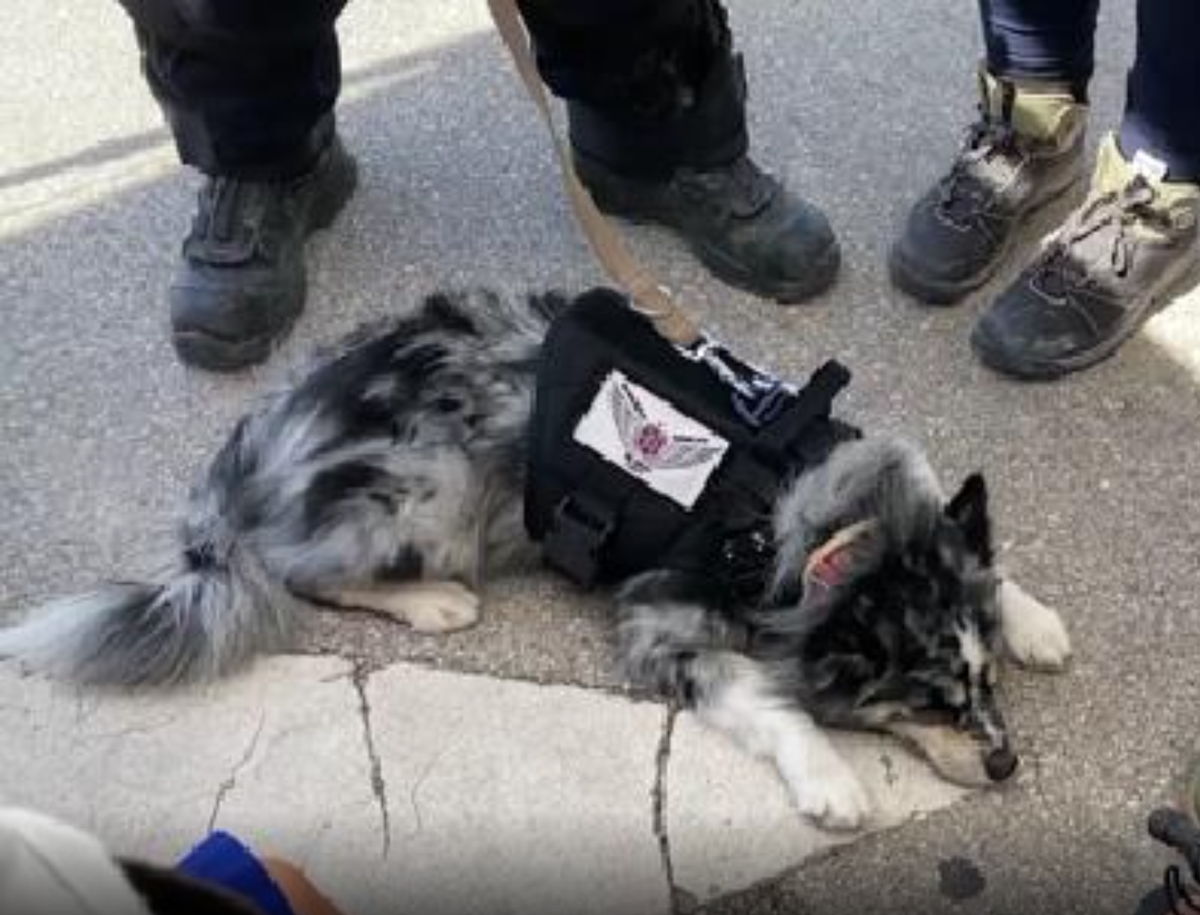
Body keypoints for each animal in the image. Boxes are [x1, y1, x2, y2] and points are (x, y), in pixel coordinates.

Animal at [0, 286, 1070, 826]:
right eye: (926, 701)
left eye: (982, 687)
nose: (1008, 762)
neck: (807, 522)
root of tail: (249, 448)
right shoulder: (663, 622)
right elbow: (773, 702)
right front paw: (831, 778)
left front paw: (1030, 615)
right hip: (432, 486)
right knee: (304, 570)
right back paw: (432, 601)